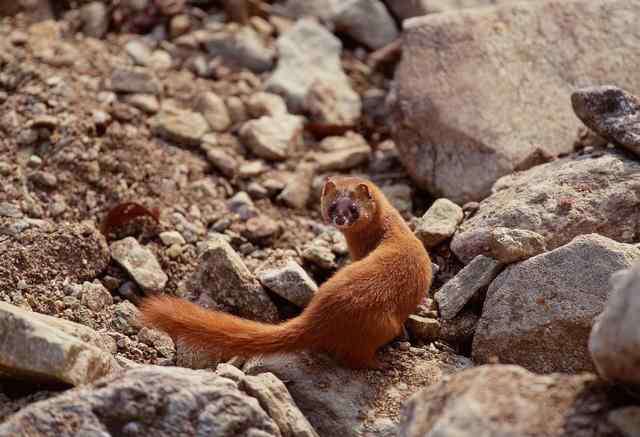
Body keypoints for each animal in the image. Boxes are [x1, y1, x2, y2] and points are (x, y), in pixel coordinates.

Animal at [139, 175, 430, 366]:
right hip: (382, 324)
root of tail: (316, 318)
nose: (339, 218)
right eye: (332, 206)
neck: (393, 231)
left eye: (354, 208)